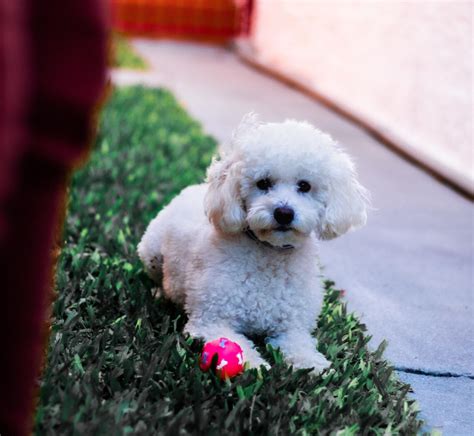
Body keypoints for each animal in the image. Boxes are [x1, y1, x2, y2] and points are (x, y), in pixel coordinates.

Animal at [137, 114, 370, 372]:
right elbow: (240, 347)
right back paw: (160, 292)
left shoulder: (293, 328)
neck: (270, 253)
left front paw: (314, 365)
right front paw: (256, 366)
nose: (284, 213)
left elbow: (301, 346)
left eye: (305, 186)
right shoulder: (210, 320)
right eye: (263, 183)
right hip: (150, 251)